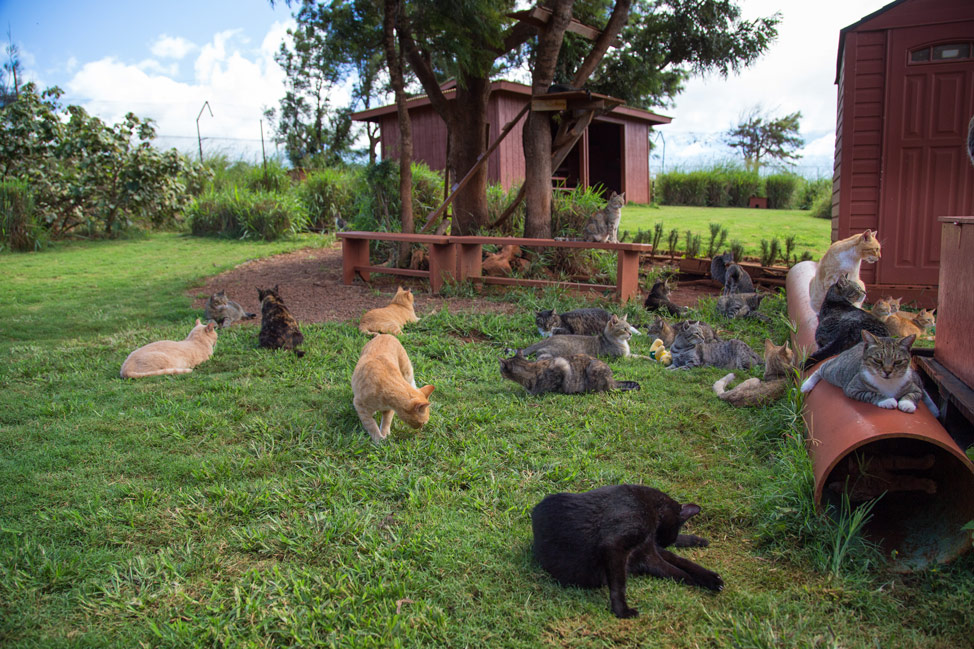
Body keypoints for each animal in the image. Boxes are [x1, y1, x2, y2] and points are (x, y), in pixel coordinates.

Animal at [532, 480, 724, 616]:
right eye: (674, 529)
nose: (665, 541)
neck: (651, 507)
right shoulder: (616, 546)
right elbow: (619, 584)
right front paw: (622, 611)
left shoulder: (646, 552)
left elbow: (678, 569)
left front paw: (704, 580)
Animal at [800, 330, 936, 416]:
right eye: (877, 360)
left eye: (897, 362)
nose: (887, 372)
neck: (888, 383)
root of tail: (860, 343)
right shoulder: (853, 389)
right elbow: (872, 394)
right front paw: (888, 400)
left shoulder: (914, 387)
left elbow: (914, 394)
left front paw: (907, 404)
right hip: (834, 371)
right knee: (821, 367)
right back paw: (806, 385)